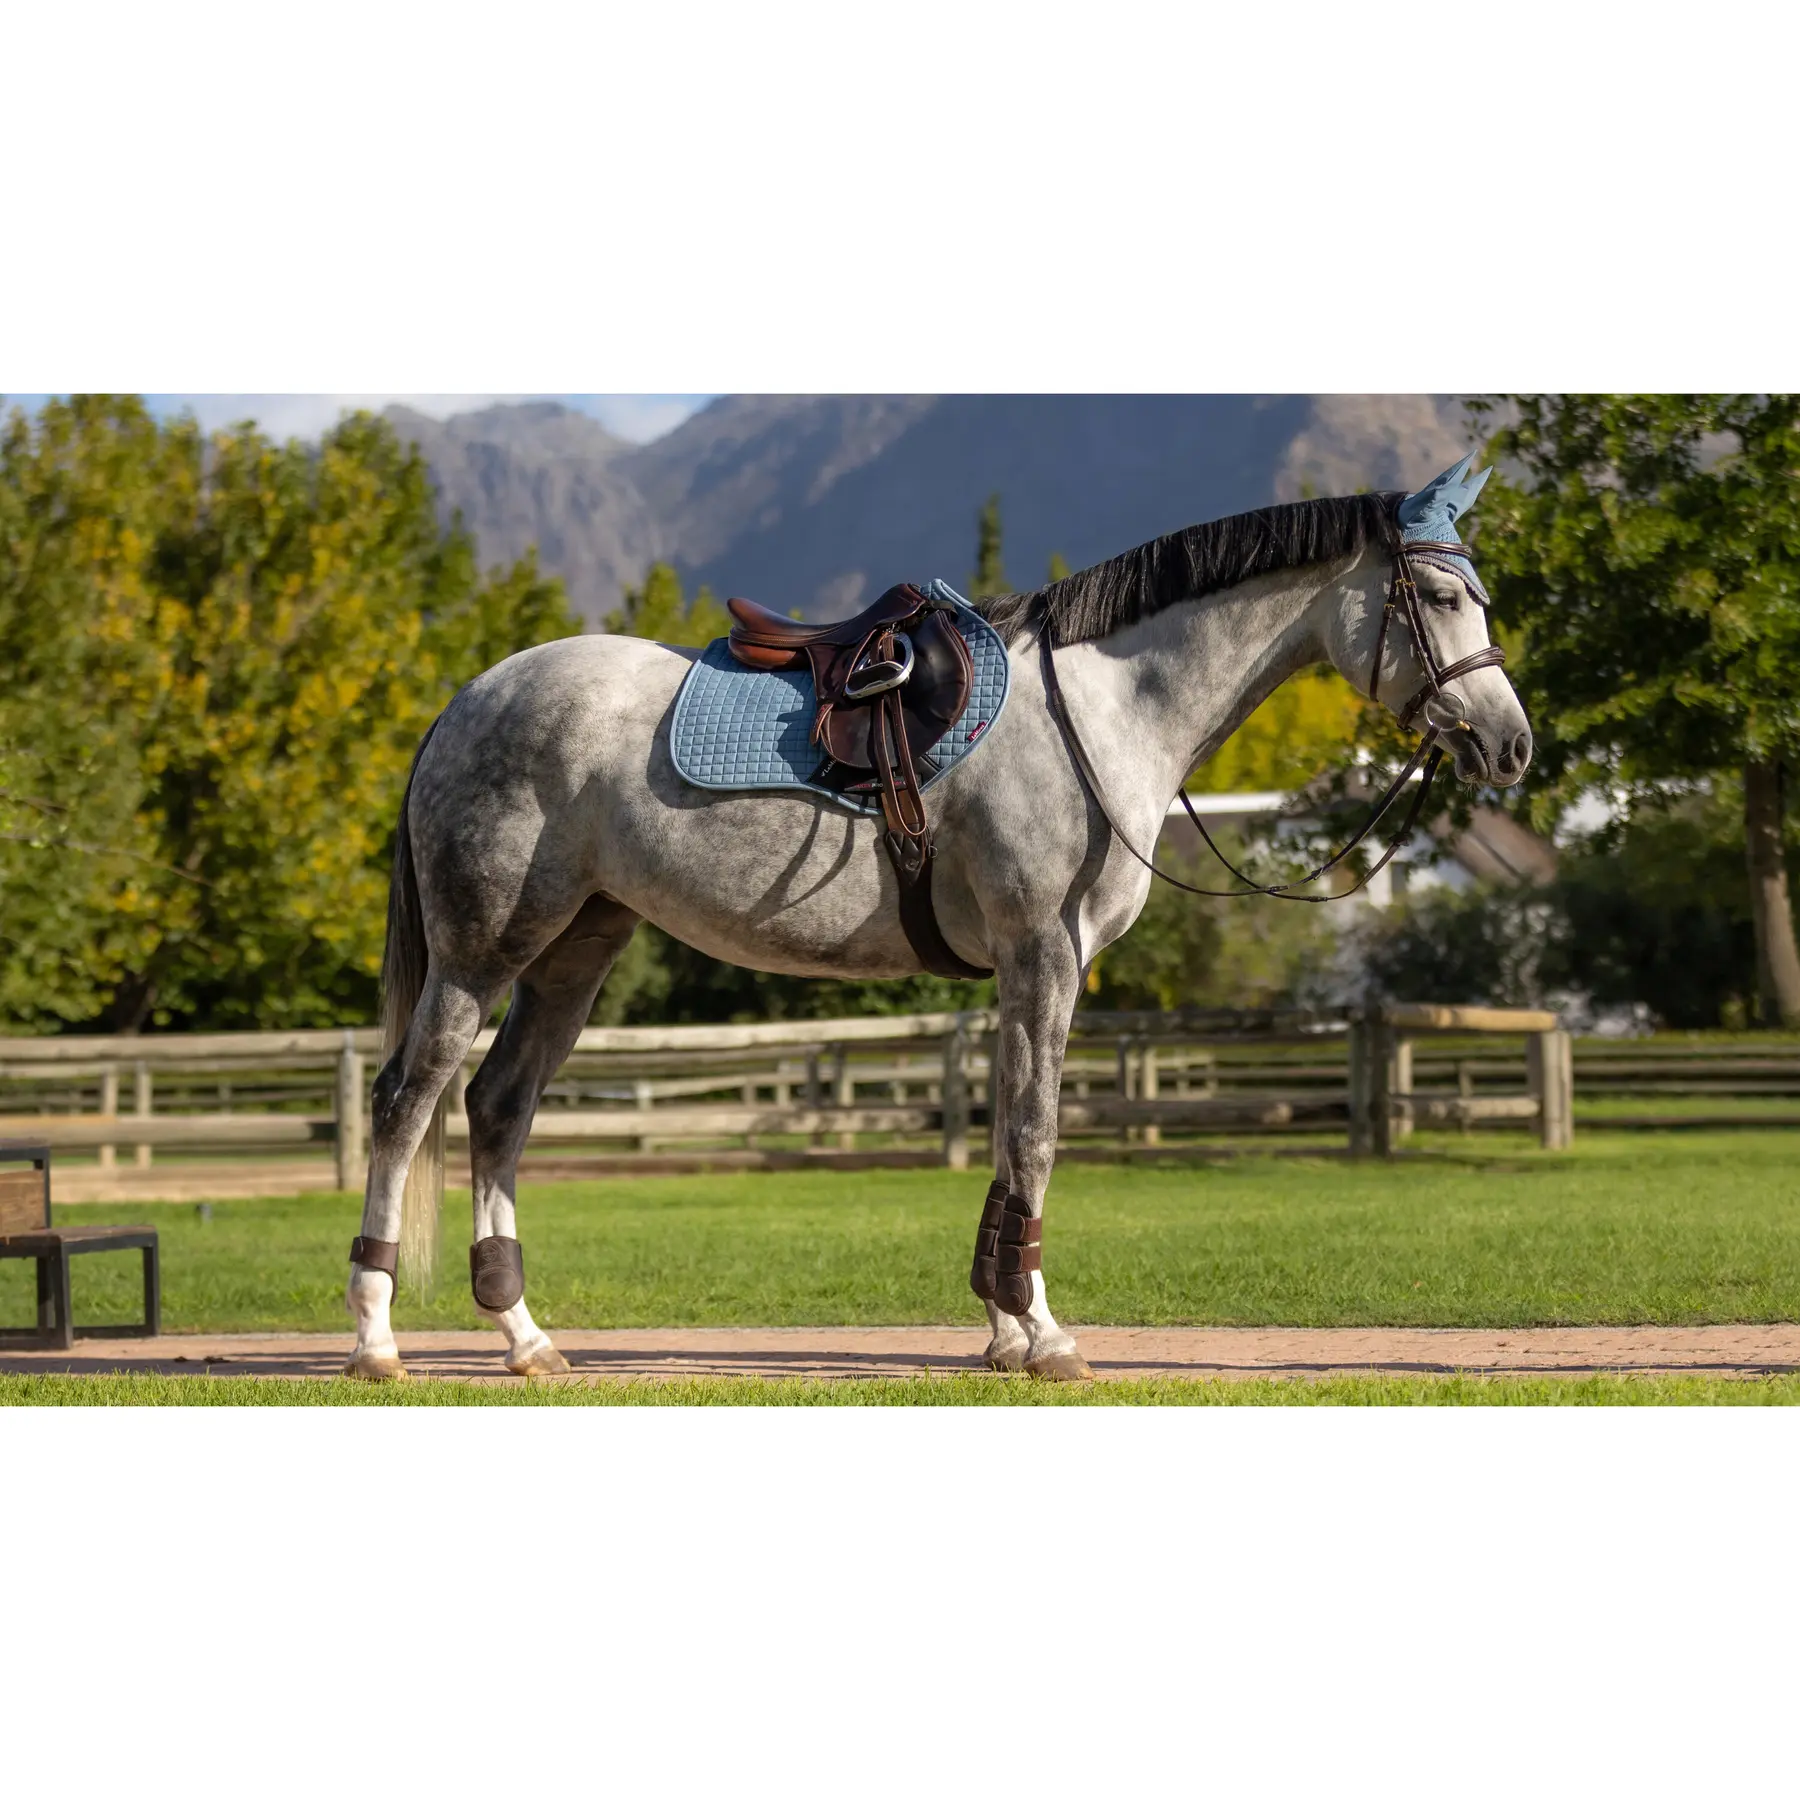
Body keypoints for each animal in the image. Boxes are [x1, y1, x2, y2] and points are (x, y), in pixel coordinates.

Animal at [342, 457, 1530, 1381]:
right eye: (1440, 595)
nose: (1511, 744)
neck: (1100, 711)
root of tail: (467, 701)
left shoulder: (1027, 968)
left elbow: (1009, 1132)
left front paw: (1005, 1328)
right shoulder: (1043, 952)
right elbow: (1036, 1134)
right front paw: (1043, 1336)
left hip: (574, 950)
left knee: (497, 1109)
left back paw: (527, 1339)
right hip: (481, 952)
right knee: (406, 1104)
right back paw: (376, 1340)